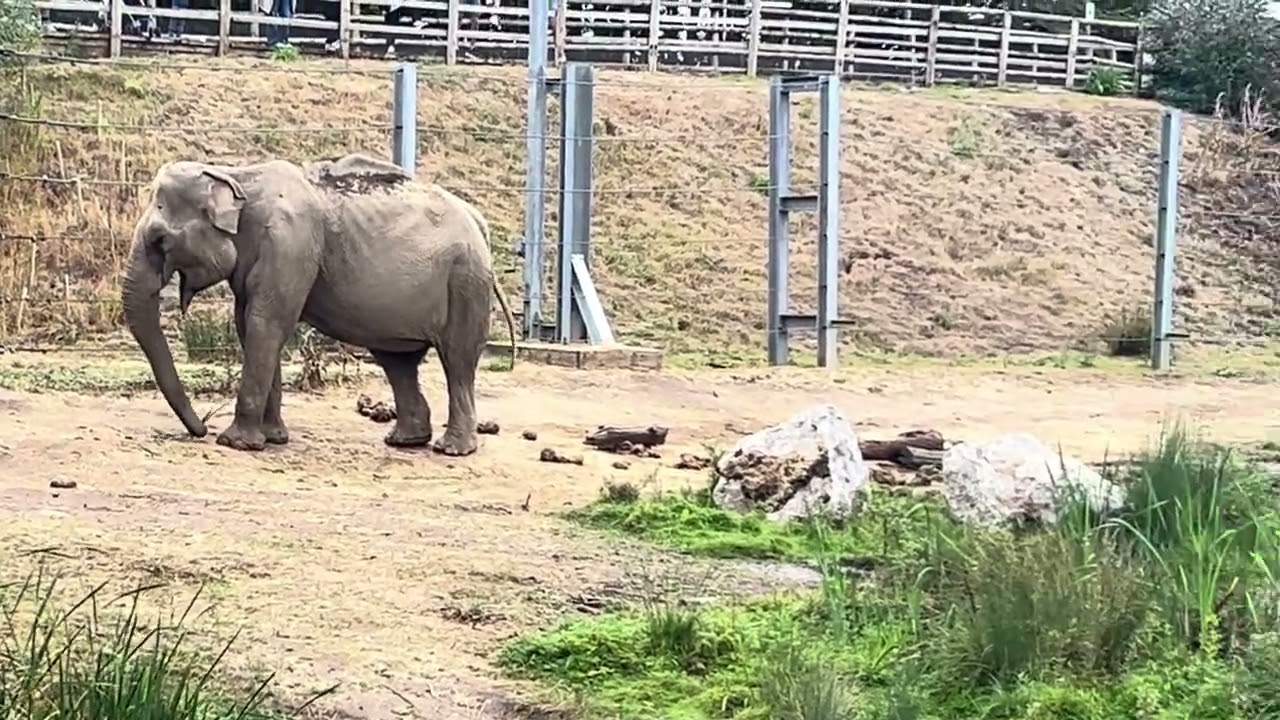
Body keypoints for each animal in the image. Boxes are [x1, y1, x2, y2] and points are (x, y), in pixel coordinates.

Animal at [121, 153, 517, 456]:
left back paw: (452, 449)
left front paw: (237, 443)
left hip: (464, 282)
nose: (201, 428)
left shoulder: (290, 244)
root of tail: (477, 221)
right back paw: (405, 441)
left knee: (457, 361)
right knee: (398, 361)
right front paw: (273, 438)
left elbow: (267, 322)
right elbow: (250, 326)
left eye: (160, 240)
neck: (236, 174)